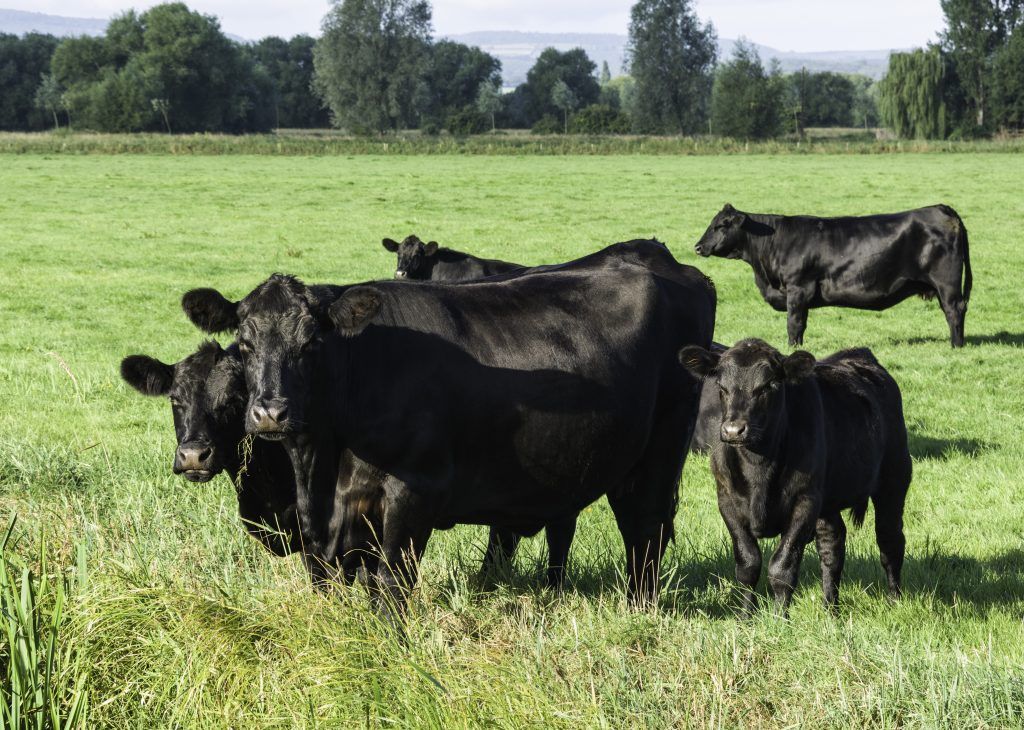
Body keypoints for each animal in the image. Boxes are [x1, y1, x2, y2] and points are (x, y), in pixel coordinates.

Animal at [180, 239, 716, 610]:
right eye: (244, 343)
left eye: (311, 342)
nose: (270, 412)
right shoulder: (329, 524)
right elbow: (331, 583)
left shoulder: (412, 492)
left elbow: (391, 586)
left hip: (660, 451)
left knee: (643, 530)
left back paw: (638, 611)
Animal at [679, 337, 913, 610]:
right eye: (721, 385)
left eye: (769, 385)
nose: (734, 430)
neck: (758, 467)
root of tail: (860, 355)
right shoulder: (727, 500)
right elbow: (748, 564)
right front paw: (744, 615)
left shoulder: (804, 502)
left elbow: (782, 568)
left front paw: (779, 618)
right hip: (828, 501)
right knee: (832, 545)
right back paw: (830, 608)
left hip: (894, 478)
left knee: (890, 540)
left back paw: (894, 600)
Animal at [692, 200, 970, 346]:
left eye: (721, 225)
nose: (698, 246)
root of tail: (942, 208)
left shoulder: (798, 288)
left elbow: (794, 323)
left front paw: (792, 348)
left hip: (947, 285)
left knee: (954, 311)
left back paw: (956, 345)